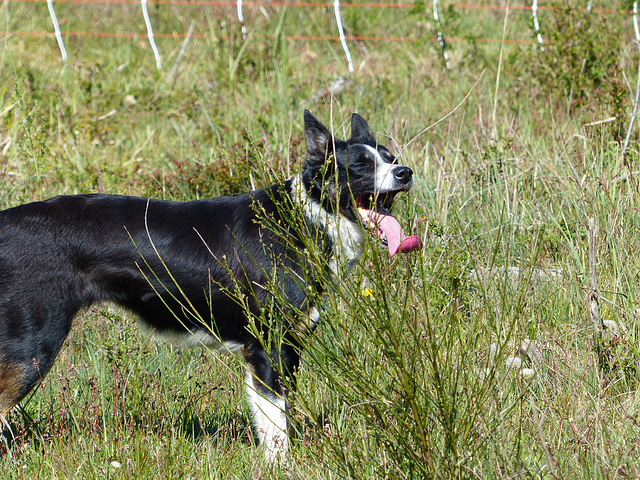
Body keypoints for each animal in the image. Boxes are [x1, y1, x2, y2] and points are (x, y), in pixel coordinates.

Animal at [0, 110, 422, 460]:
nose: (406, 173)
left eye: (390, 157)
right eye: (361, 165)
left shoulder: (284, 349)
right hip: (33, 345)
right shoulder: (268, 348)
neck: (306, 220)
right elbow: (277, 430)